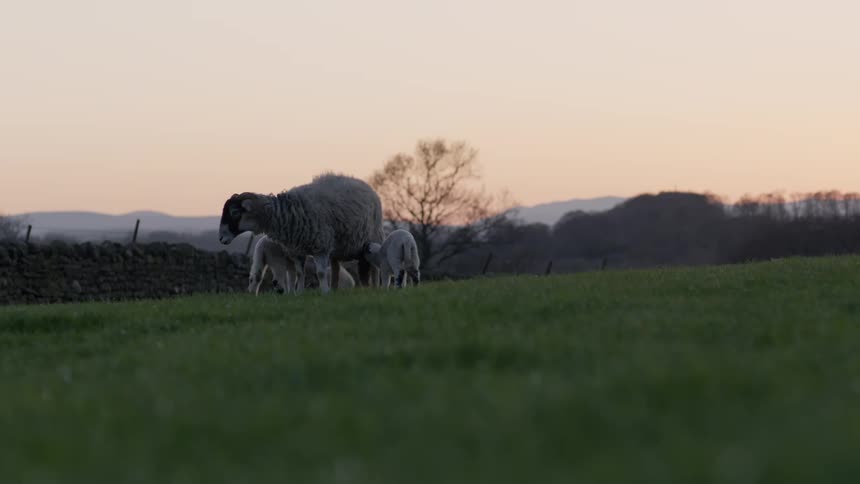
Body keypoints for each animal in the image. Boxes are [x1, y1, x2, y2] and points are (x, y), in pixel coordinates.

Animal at [220, 173, 384, 294]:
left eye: (234, 213)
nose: (221, 238)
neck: (288, 213)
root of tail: (363, 184)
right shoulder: (297, 251)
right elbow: (300, 274)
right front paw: (299, 293)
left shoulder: (321, 247)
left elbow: (321, 273)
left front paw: (324, 293)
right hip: (337, 250)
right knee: (336, 269)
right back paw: (335, 289)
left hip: (371, 241)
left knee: (374, 268)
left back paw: (375, 288)